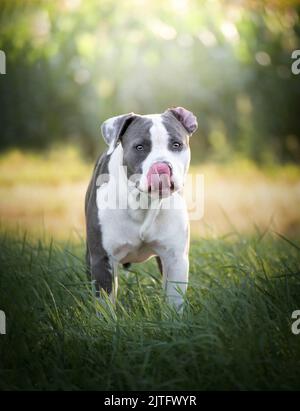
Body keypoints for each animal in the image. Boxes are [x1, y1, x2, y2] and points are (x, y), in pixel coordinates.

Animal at [85, 107, 197, 312]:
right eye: (139, 147)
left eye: (176, 144)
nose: (161, 167)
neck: (143, 202)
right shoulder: (102, 259)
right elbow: (105, 305)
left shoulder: (175, 258)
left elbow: (174, 301)